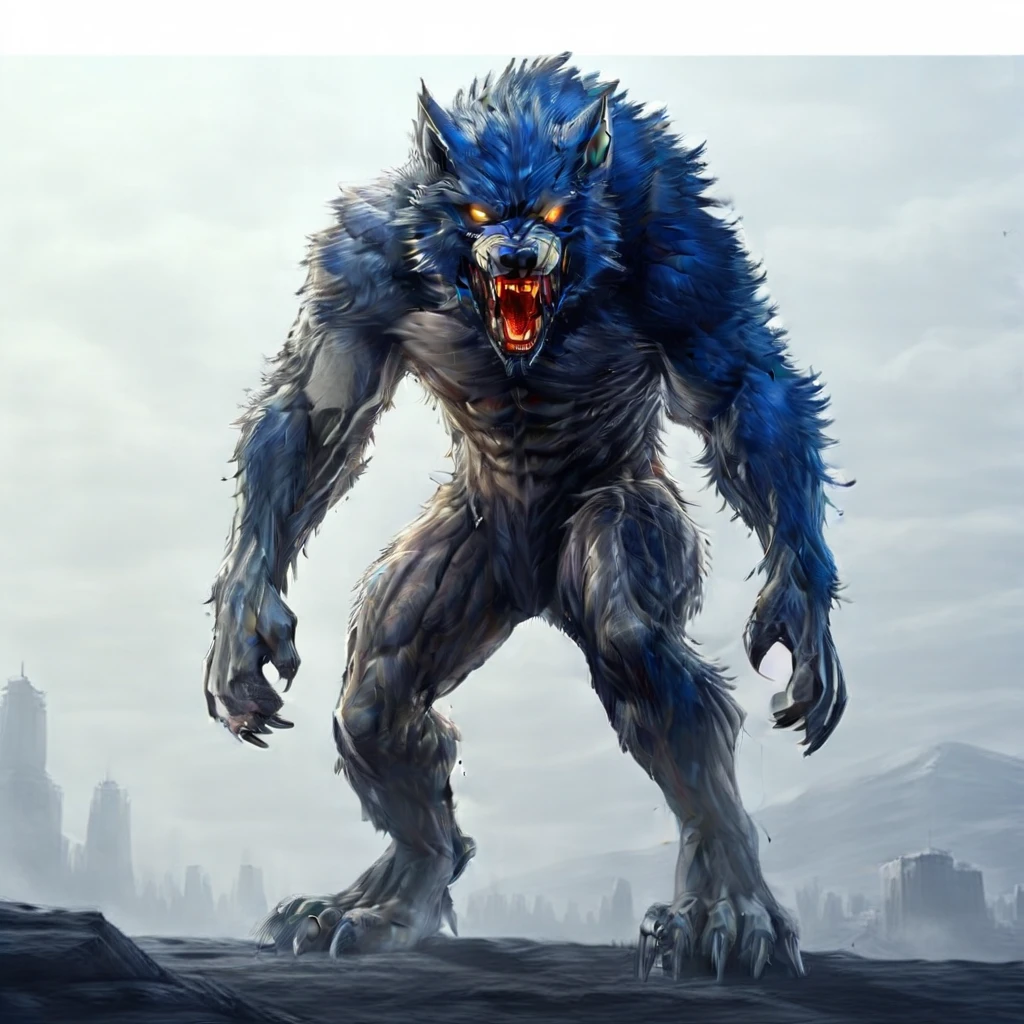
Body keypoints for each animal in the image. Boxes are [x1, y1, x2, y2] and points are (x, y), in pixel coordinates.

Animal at [203, 54, 848, 981]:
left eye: (547, 212)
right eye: (477, 212)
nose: (512, 249)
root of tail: (536, 585)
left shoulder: (681, 240)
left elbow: (740, 387)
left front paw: (801, 606)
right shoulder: (357, 259)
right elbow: (312, 409)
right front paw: (243, 621)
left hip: (628, 524)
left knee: (633, 643)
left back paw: (726, 909)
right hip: (464, 561)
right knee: (379, 698)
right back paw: (388, 900)